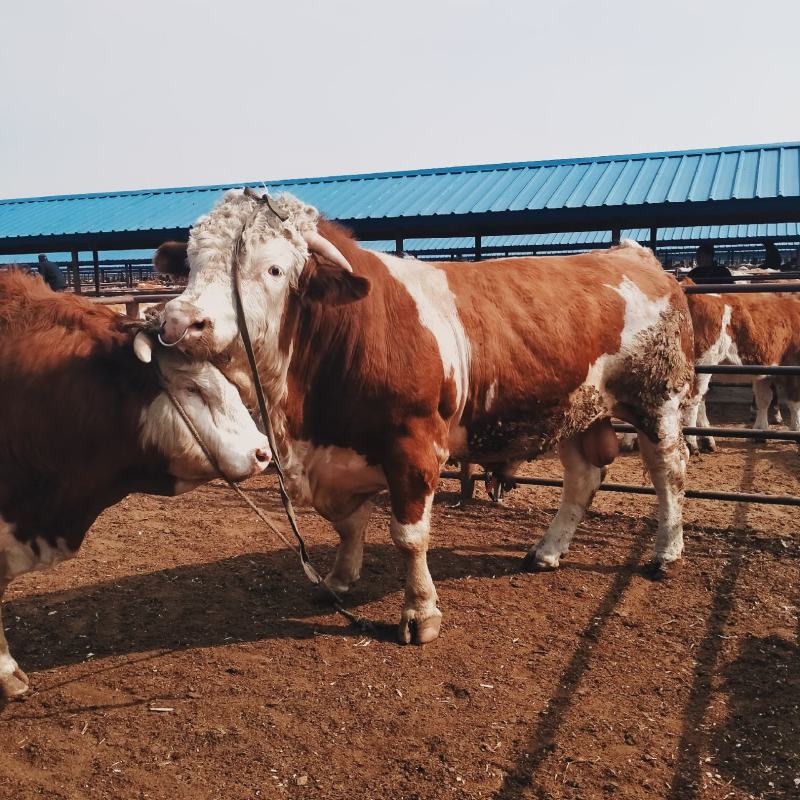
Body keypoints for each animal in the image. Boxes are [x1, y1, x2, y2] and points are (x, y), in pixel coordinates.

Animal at [156, 191, 692, 648]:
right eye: (192, 263)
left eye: (273, 268)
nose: (180, 321)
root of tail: (633, 256)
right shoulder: (335, 455)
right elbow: (348, 525)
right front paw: (338, 580)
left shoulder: (413, 446)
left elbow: (408, 536)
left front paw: (420, 613)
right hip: (577, 409)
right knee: (583, 476)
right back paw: (547, 551)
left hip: (659, 399)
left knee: (670, 471)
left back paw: (665, 554)